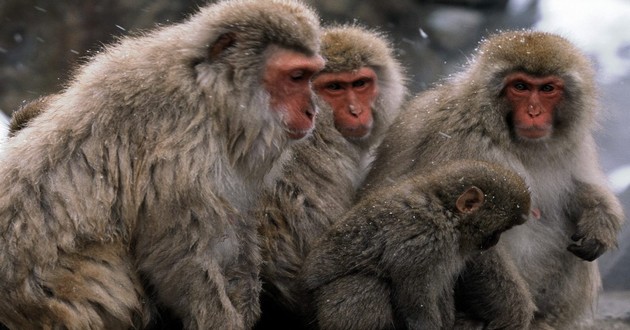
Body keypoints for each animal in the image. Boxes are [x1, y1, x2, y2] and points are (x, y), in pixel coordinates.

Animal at [0, 1, 326, 328]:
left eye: (310, 76)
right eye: (296, 76)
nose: (311, 111)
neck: (210, 94)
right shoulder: (182, 151)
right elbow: (181, 254)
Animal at [304, 160, 532, 330]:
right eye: (497, 231)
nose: (494, 241)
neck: (446, 210)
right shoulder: (426, 242)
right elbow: (414, 297)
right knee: (366, 284)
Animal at [360, 30, 628, 328]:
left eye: (547, 89)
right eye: (520, 86)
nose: (534, 112)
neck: (514, 141)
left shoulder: (572, 146)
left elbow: (580, 190)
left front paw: (601, 223)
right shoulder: (465, 142)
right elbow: (471, 233)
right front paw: (515, 314)